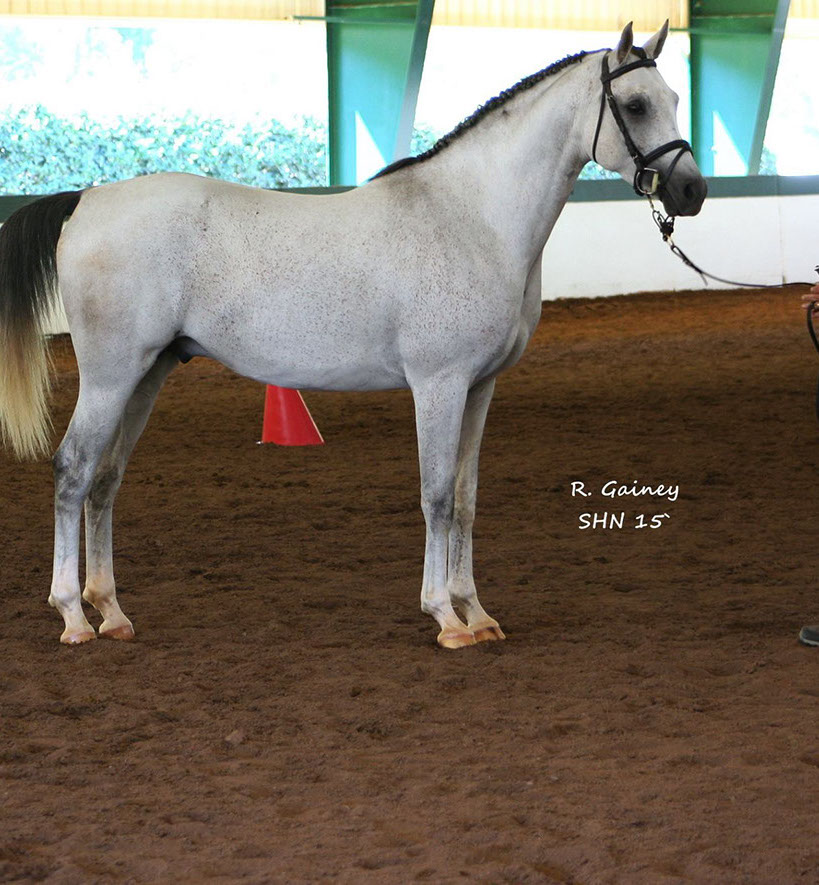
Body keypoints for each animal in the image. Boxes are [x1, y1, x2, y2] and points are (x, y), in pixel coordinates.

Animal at [0, 22, 706, 648]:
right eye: (636, 104)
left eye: (675, 98)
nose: (692, 190)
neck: (470, 216)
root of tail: (86, 200)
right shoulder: (439, 385)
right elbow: (436, 495)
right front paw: (445, 619)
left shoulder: (480, 388)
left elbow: (467, 498)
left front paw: (478, 614)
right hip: (111, 376)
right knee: (72, 470)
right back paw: (73, 616)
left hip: (147, 373)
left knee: (105, 478)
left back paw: (112, 612)